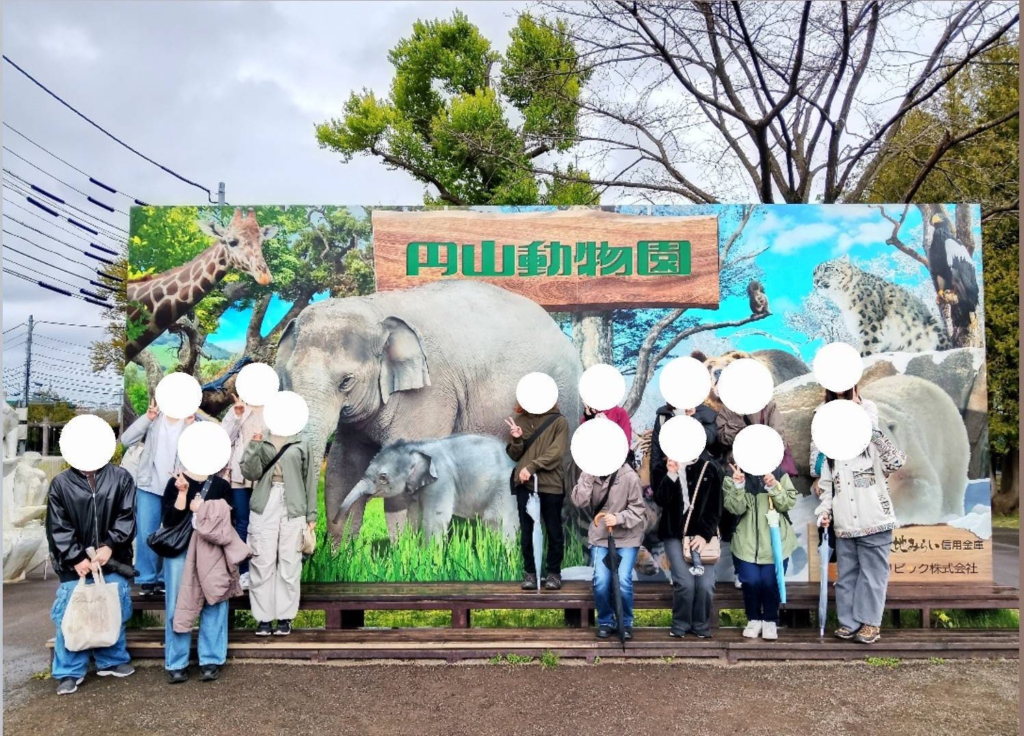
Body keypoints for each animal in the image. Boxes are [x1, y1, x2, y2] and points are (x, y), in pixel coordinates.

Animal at [336, 434, 518, 542]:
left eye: (383, 478)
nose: (335, 520)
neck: (417, 446)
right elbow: (414, 515)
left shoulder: (442, 480)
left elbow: (435, 518)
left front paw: (430, 556)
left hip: (505, 487)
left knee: (496, 519)